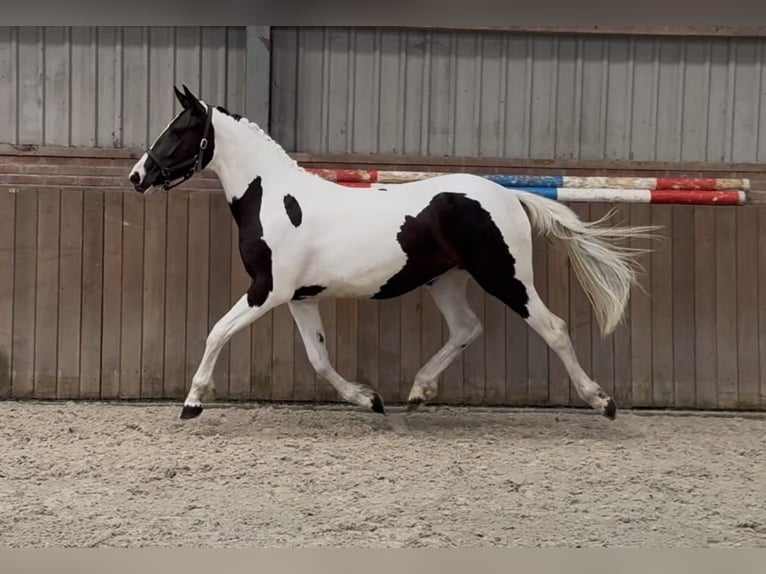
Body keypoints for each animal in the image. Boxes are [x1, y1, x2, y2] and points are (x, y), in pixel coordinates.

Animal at [129, 85, 656, 421]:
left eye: (178, 130)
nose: (138, 176)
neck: (275, 198)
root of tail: (508, 195)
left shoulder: (267, 290)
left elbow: (217, 331)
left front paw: (192, 403)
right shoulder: (299, 297)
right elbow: (319, 358)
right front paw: (369, 399)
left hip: (505, 277)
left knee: (554, 328)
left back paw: (602, 402)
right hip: (447, 279)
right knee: (467, 328)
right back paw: (418, 392)